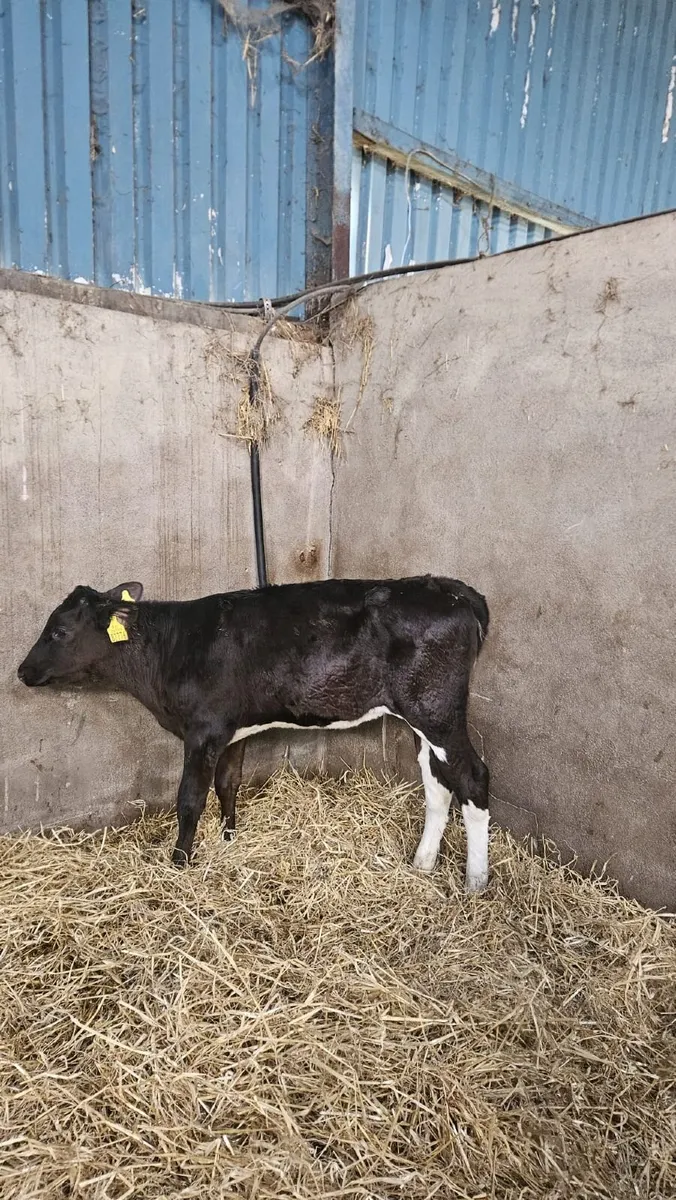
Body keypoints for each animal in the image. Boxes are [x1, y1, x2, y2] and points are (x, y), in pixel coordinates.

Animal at [17, 576, 491, 891]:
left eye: (59, 630)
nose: (21, 671)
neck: (169, 647)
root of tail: (448, 587)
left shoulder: (203, 730)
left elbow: (190, 798)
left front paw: (180, 862)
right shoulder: (232, 729)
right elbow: (229, 783)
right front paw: (229, 838)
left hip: (439, 712)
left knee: (473, 778)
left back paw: (475, 882)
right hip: (422, 719)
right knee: (437, 784)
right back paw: (422, 863)